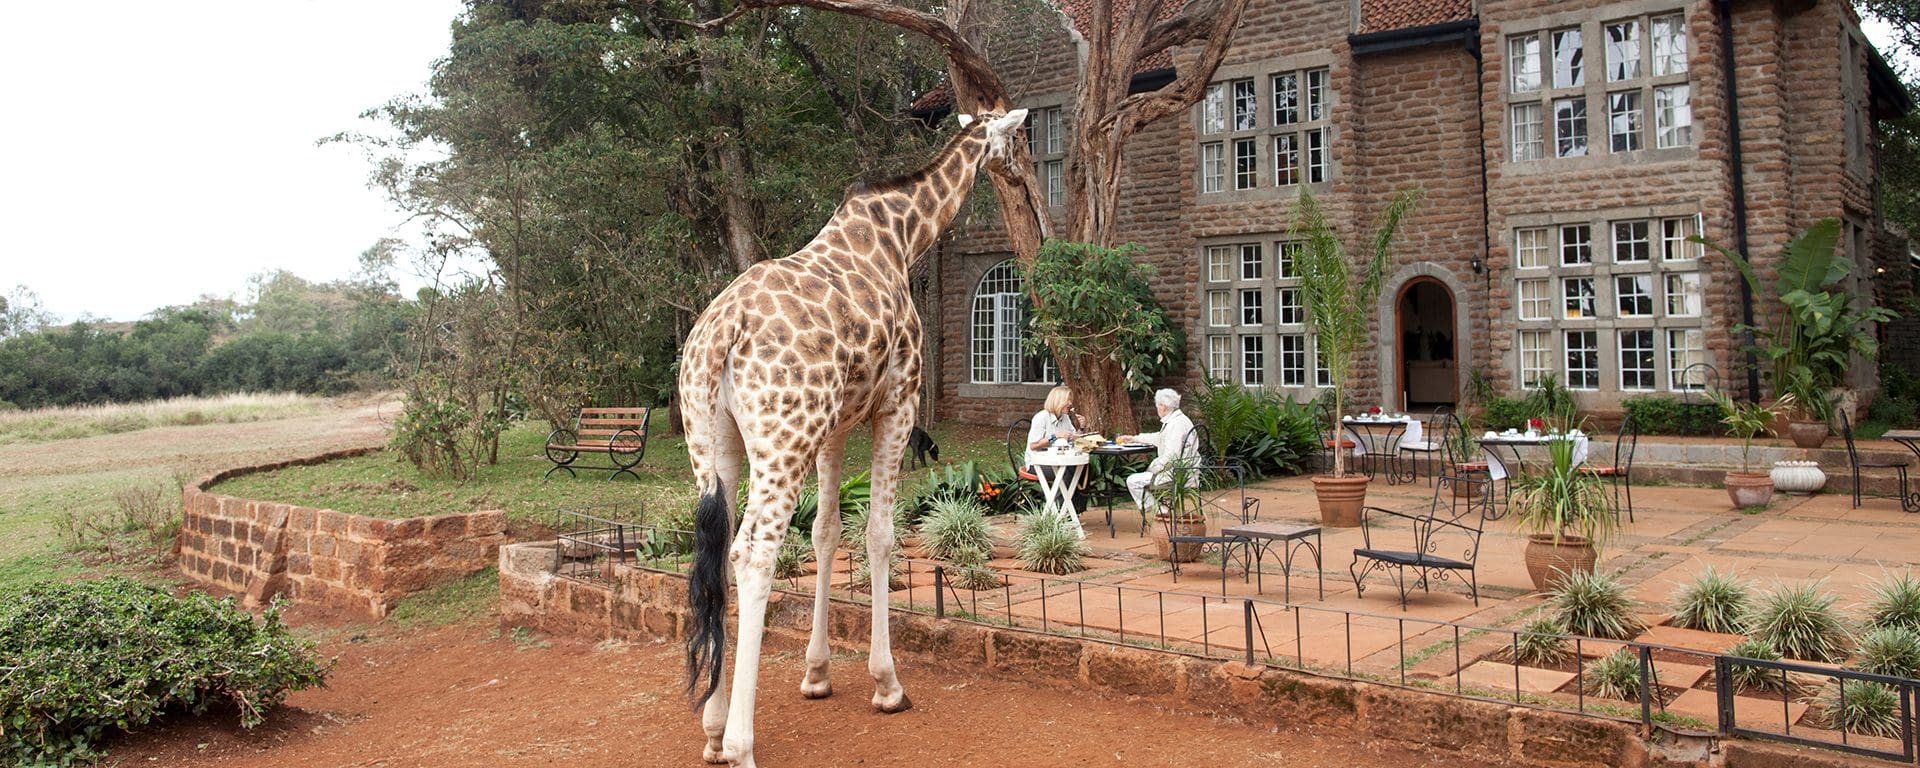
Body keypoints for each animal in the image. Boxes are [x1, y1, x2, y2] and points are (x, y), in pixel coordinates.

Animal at [678, 108, 1028, 768]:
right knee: (754, 552)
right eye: (1017, 138)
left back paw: (710, 729)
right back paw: (739, 744)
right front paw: (888, 685)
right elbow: (880, 535)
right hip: (783, 437)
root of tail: (722, 331)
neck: (902, 235)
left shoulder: (834, 428)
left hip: (714, 444)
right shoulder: (896, 405)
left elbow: (825, 533)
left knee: (716, 551)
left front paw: (817, 675)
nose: (1021, 178)